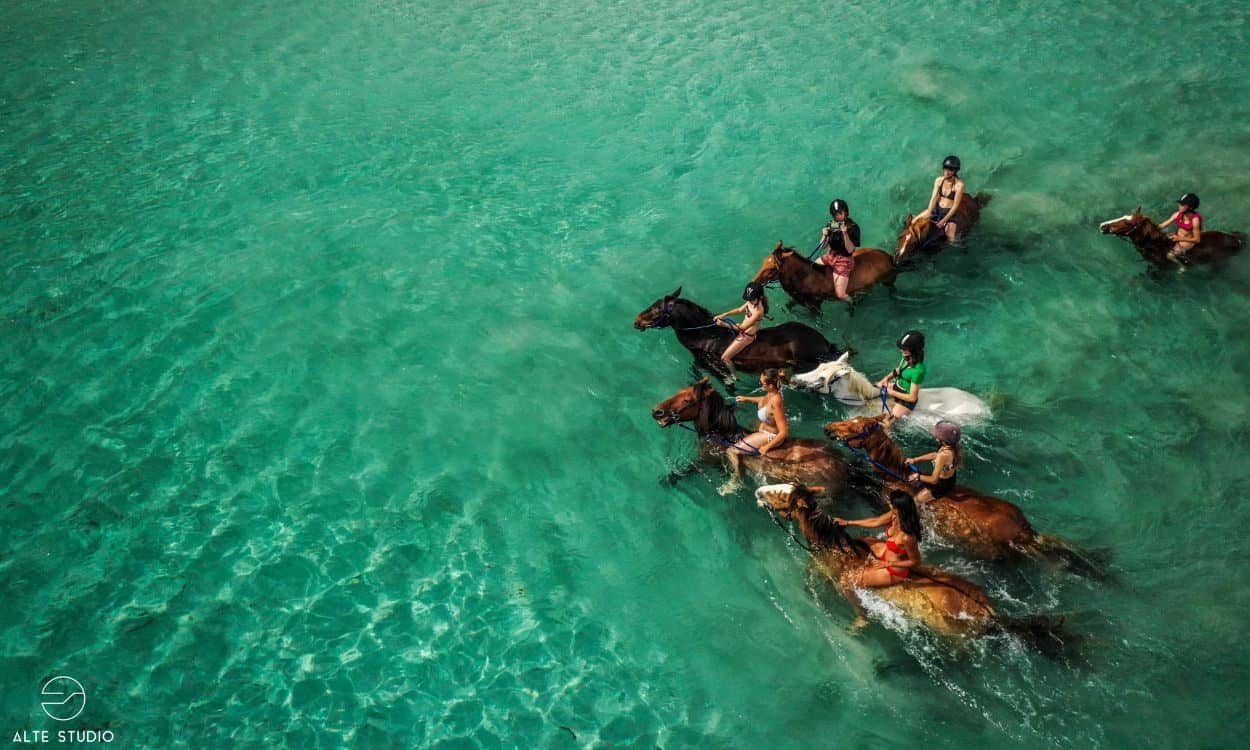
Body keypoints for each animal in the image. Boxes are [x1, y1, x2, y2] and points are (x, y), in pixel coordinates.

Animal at [652, 378, 848, 497]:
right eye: (678, 392)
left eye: (687, 400)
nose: (656, 411)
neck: (722, 435)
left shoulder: (706, 459)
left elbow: (685, 470)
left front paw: (667, 480)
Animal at [749, 241, 898, 313]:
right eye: (763, 261)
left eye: (771, 269)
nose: (753, 283)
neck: (805, 278)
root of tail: (889, 257)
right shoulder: (797, 300)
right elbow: (788, 306)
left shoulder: (815, 306)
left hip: (888, 281)